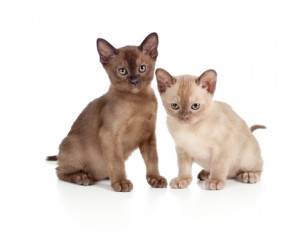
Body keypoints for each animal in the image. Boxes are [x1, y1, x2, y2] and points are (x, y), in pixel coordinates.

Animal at [48, 32, 168, 191]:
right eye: (122, 71)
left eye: (142, 68)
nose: (134, 81)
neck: (137, 101)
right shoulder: (109, 135)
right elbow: (117, 162)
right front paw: (121, 182)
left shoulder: (148, 135)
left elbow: (152, 160)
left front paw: (155, 179)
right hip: (74, 145)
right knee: (60, 171)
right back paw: (83, 177)